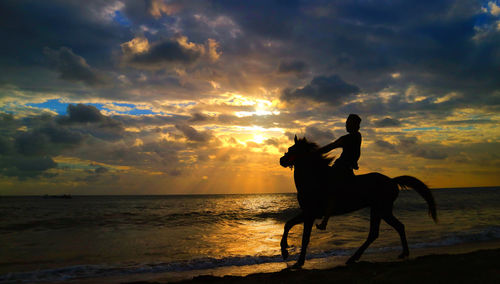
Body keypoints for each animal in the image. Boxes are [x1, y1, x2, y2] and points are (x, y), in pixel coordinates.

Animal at [280, 136, 436, 268]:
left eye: (291, 150)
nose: (281, 160)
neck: (314, 179)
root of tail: (392, 181)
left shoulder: (310, 214)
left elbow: (305, 238)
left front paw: (298, 262)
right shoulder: (307, 213)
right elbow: (288, 224)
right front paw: (285, 251)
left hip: (382, 209)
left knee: (386, 230)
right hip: (379, 210)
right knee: (385, 230)